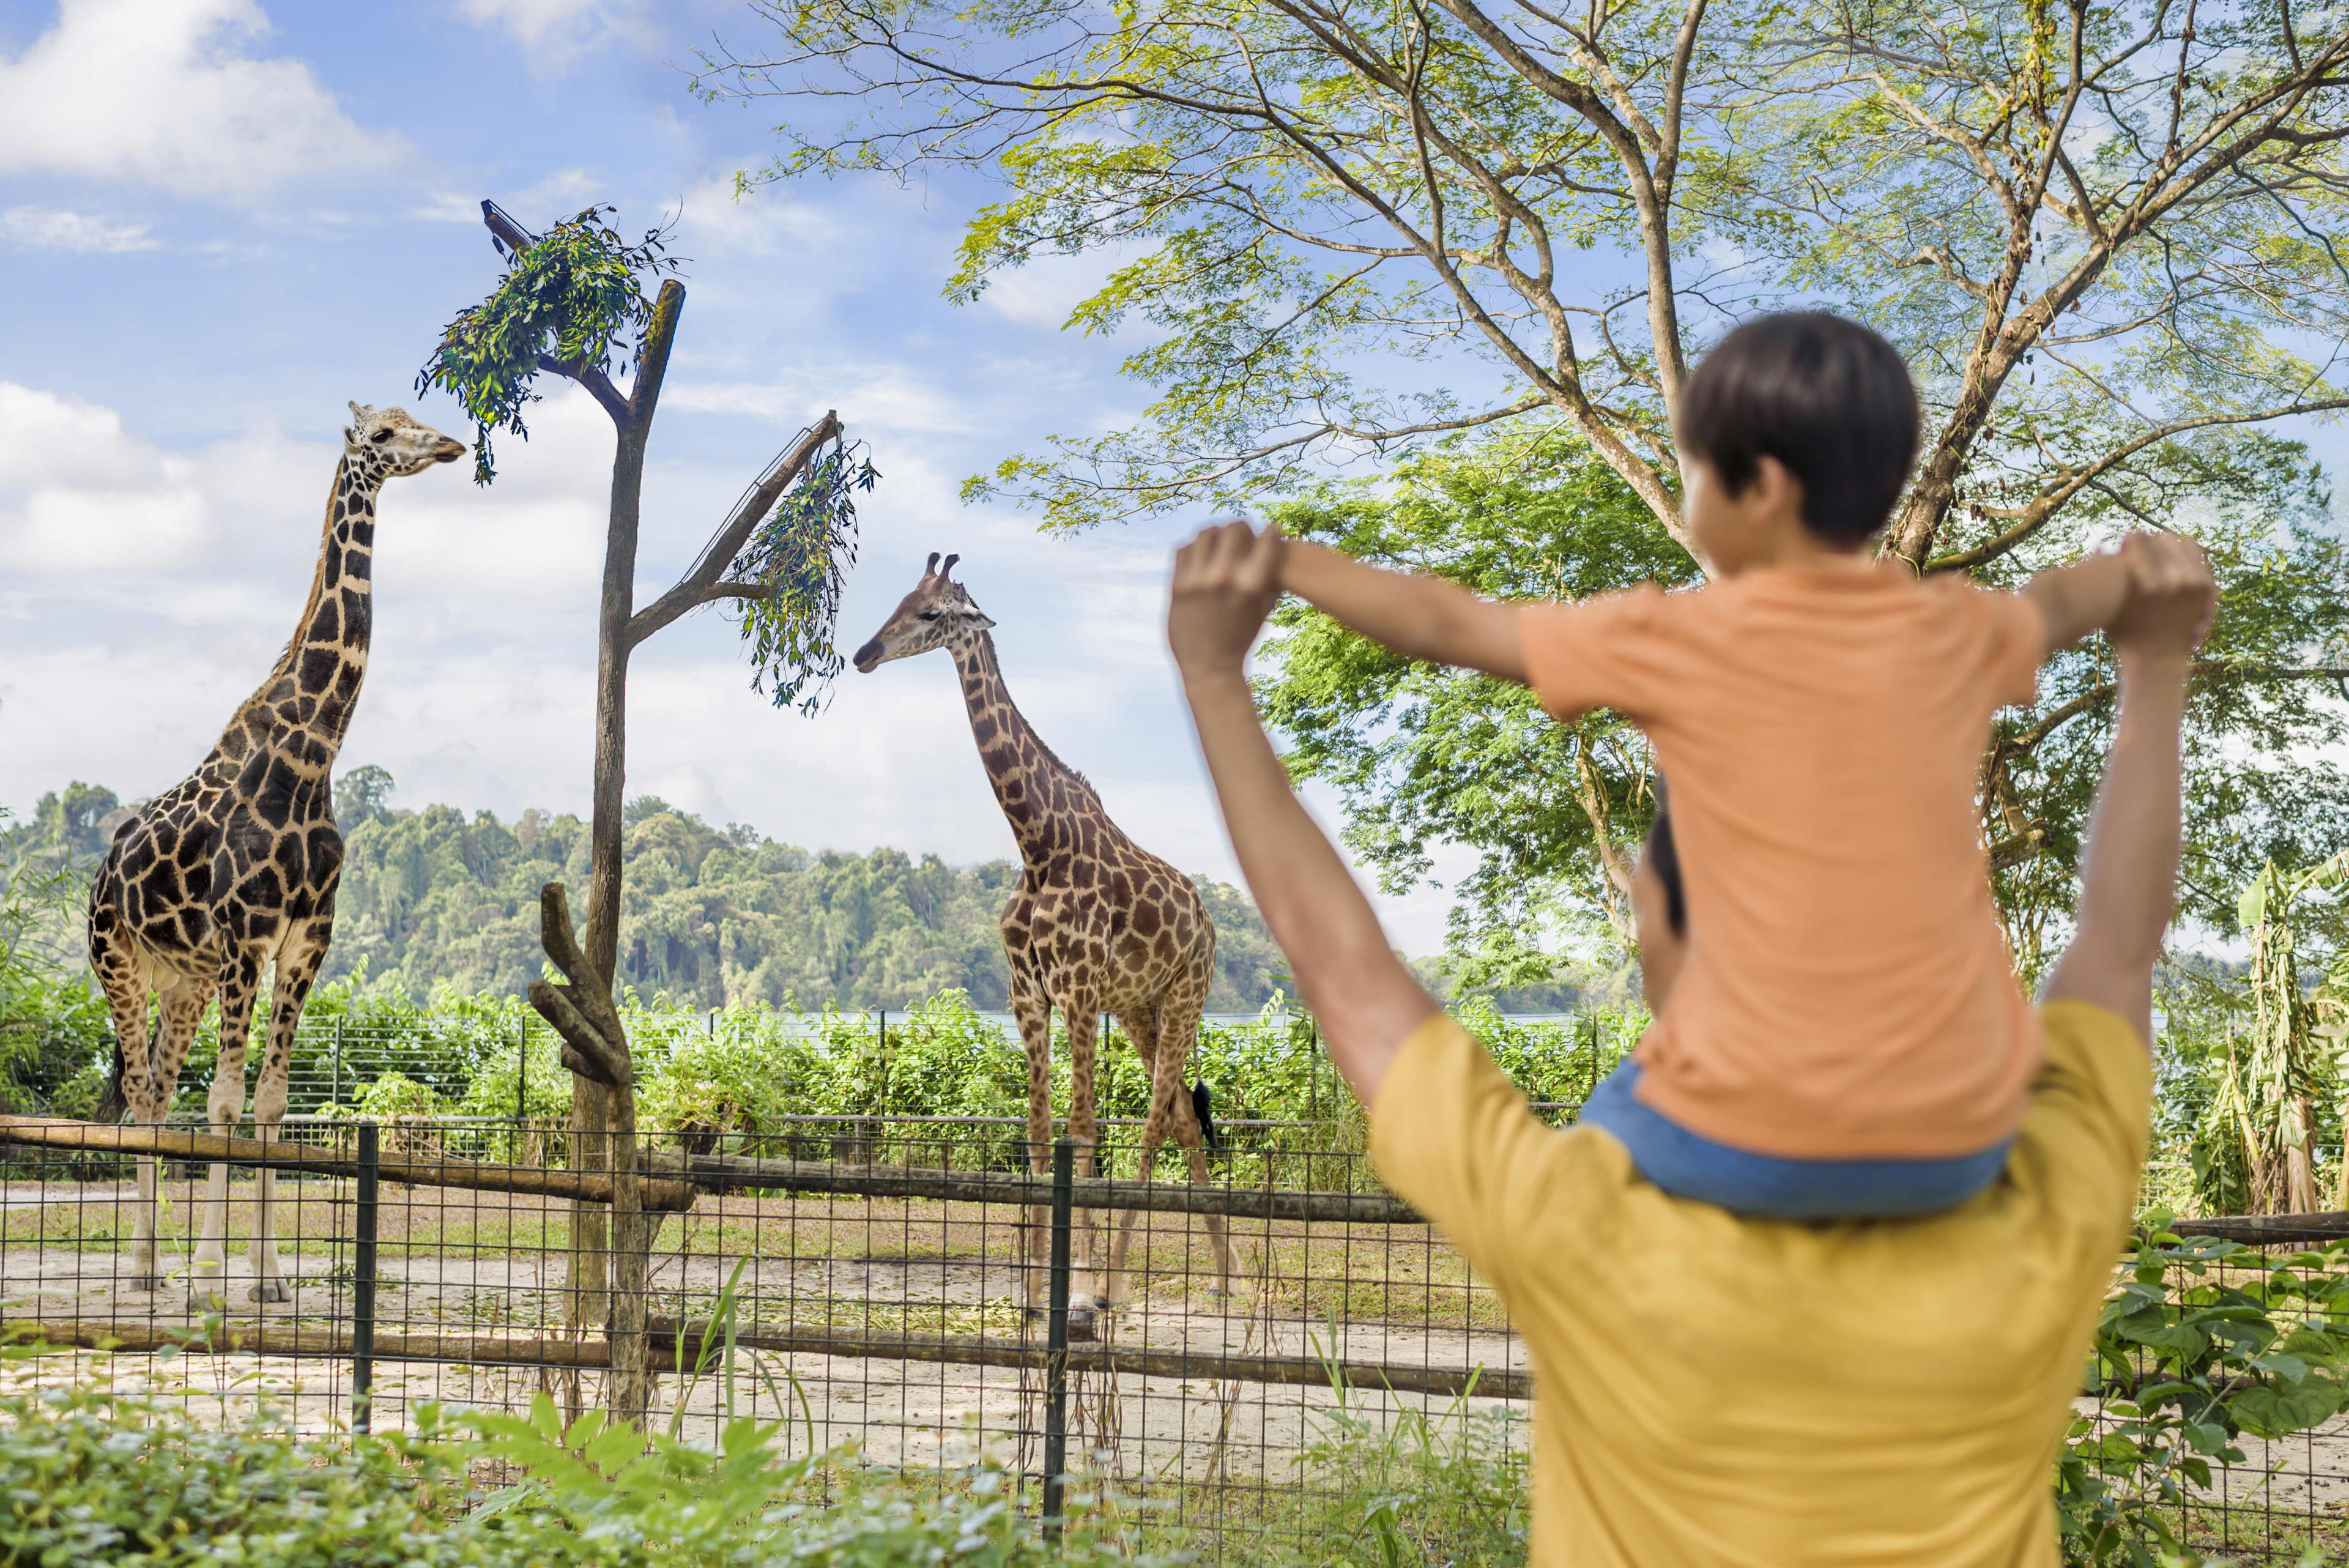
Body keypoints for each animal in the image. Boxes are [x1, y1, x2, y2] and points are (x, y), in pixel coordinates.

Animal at [92, 399, 467, 1307]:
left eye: (417, 416)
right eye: (382, 434)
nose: (450, 444)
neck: (312, 756)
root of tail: (101, 874)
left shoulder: (304, 941)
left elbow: (268, 1102)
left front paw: (266, 1278)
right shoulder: (247, 936)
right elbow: (225, 1103)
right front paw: (208, 1279)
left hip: (184, 982)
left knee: (156, 1089)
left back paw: (150, 1262)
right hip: (119, 963)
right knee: (143, 1096)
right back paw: (146, 1266)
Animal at [855, 557, 1240, 1335]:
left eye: (933, 614)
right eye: (902, 599)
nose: (864, 654)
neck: (1037, 842)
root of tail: (1210, 924)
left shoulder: (1079, 990)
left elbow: (1083, 1131)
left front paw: (1082, 1291)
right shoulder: (1027, 993)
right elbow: (1037, 1134)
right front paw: (1034, 1297)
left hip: (1186, 997)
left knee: (1154, 1122)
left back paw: (1119, 1286)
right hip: (1143, 1009)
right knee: (1184, 1118)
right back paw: (1221, 1278)